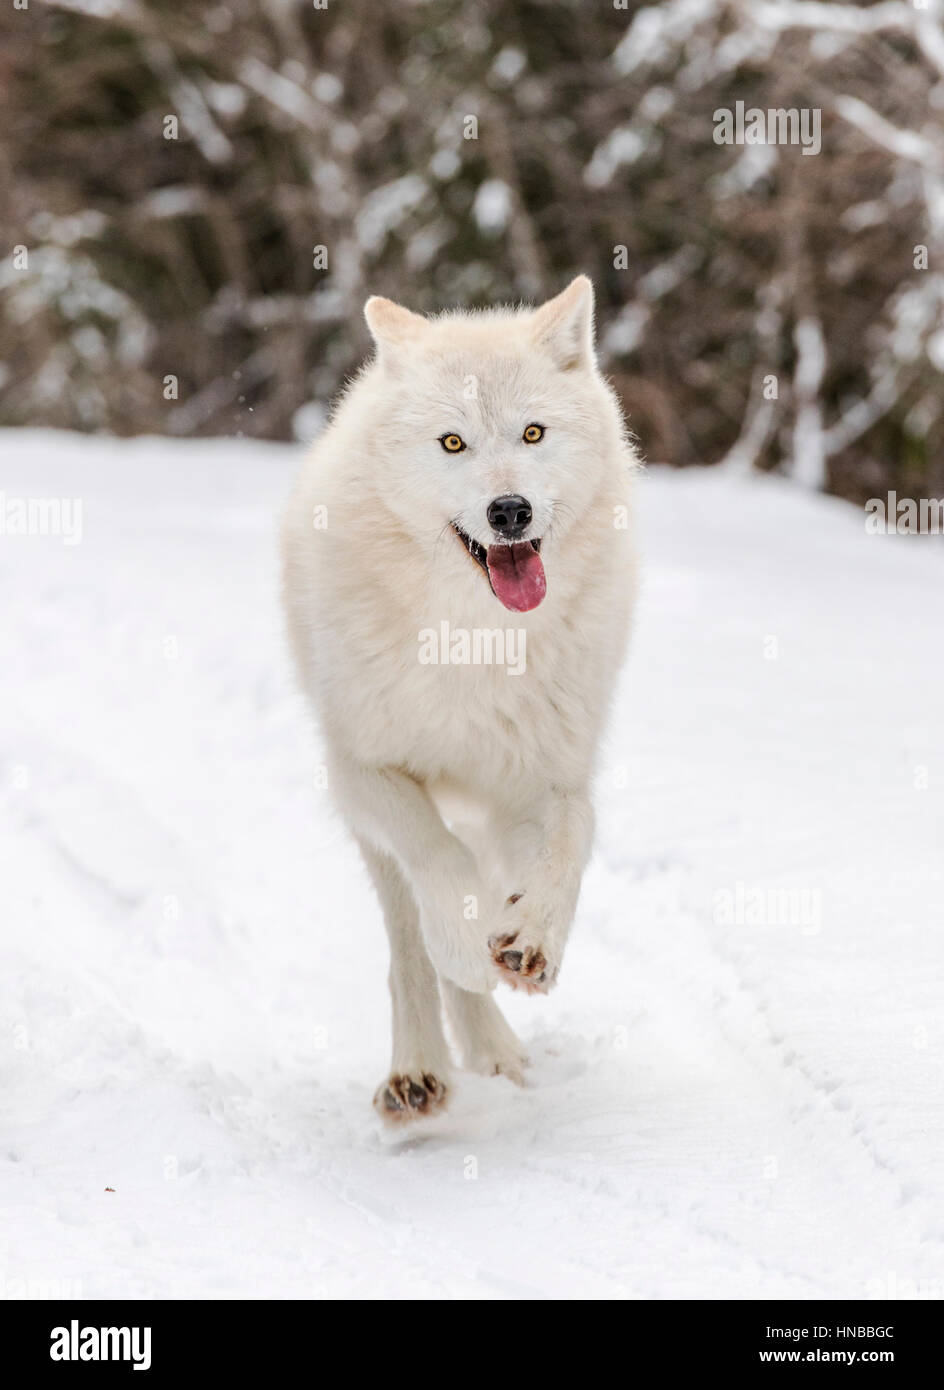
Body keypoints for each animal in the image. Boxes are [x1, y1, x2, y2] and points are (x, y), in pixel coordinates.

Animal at [282, 276, 638, 1121]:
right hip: (374, 833)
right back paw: (421, 1070)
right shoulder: (363, 769)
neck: (476, 642)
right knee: (409, 938)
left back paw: (492, 1046)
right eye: (453, 444)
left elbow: (574, 837)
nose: (509, 511)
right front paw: (470, 944)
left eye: (533, 433)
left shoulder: (550, 777)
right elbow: (435, 862)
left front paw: (531, 941)